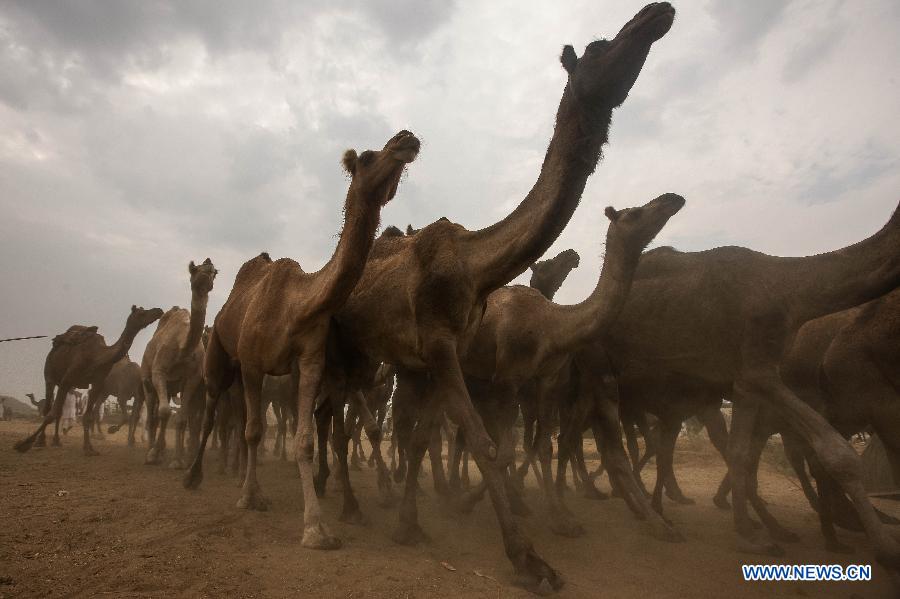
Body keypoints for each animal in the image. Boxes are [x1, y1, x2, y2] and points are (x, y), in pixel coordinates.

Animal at [12, 304, 163, 454]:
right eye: (141, 313)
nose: (158, 310)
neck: (97, 357)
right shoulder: (68, 380)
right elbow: (52, 413)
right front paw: (23, 444)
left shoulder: (97, 384)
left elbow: (87, 416)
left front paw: (89, 448)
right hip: (50, 376)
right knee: (48, 408)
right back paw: (41, 441)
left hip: (92, 389)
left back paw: (57, 440)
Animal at [141, 258, 218, 468]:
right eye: (194, 269)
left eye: (215, 272)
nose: (208, 264)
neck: (183, 348)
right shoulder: (159, 372)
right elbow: (164, 412)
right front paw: (153, 454)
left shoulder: (192, 379)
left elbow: (181, 419)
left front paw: (176, 460)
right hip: (147, 382)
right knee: (152, 415)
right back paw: (151, 451)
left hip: (171, 387)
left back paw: (161, 451)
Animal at [183, 132, 422, 552]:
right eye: (367, 156)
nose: (405, 138)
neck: (296, 305)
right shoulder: (252, 363)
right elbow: (253, 430)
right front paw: (251, 497)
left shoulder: (310, 357)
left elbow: (306, 439)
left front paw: (316, 528)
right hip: (221, 355)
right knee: (213, 407)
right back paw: (193, 475)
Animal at [328, 5, 676, 592]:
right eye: (598, 46)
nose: (657, 14)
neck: (474, 267)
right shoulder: (445, 348)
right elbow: (484, 442)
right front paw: (531, 561)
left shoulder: (431, 359)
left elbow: (430, 439)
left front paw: (411, 526)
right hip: (351, 348)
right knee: (335, 416)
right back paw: (344, 502)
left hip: (396, 365)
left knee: (384, 427)